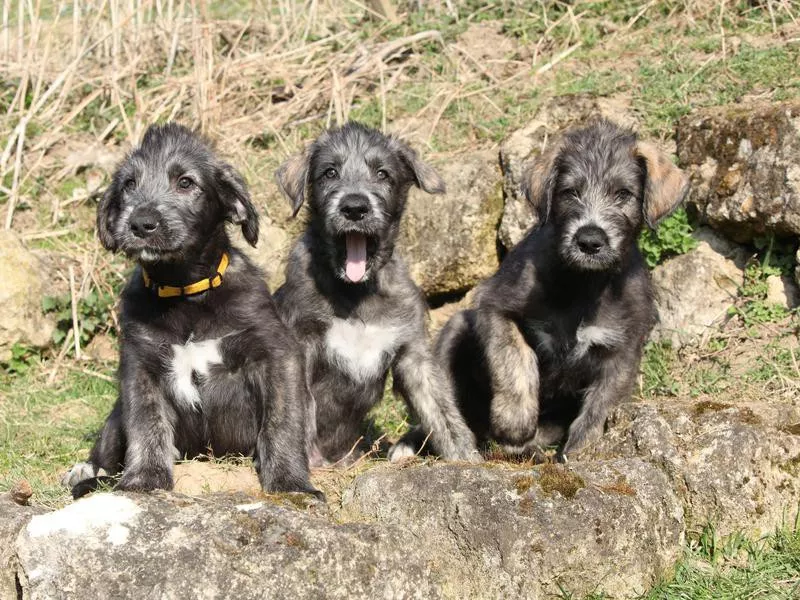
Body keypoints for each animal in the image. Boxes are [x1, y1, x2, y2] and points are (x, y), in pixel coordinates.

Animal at [276, 122, 478, 466]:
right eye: (329, 172)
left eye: (382, 174)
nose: (355, 208)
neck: (356, 292)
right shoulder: (301, 343)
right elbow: (302, 405)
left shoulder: (413, 354)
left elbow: (440, 409)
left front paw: (467, 457)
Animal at [432, 119, 688, 462]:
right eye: (570, 192)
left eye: (623, 194)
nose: (590, 240)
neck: (584, 284)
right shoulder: (495, 305)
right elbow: (514, 357)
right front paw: (514, 420)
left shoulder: (623, 352)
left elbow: (599, 408)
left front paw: (579, 452)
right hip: (455, 330)